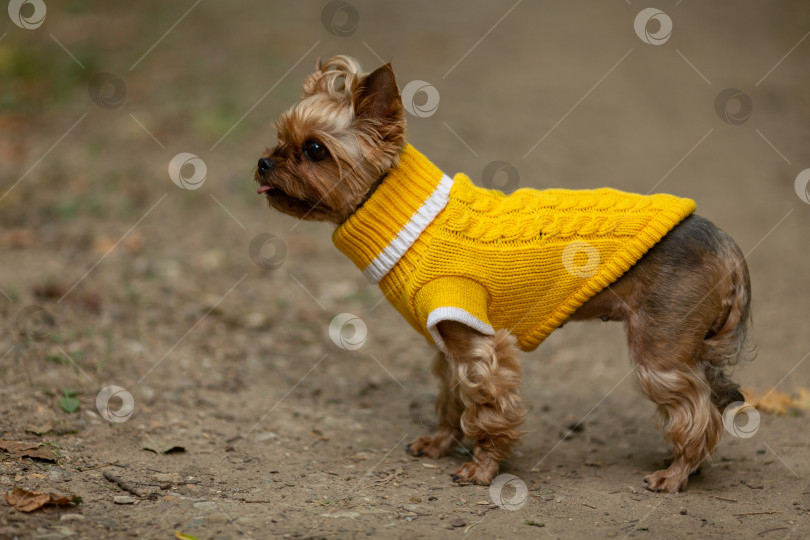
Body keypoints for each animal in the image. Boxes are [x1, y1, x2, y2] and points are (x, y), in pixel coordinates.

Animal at [252, 56, 752, 494]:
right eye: (278, 139)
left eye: (314, 149)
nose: (263, 162)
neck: (409, 218)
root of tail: (726, 243)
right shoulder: (448, 343)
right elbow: (451, 399)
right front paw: (440, 444)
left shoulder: (479, 345)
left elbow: (487, 409)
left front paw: (482, 468)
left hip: (659, 349)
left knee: (698, 410)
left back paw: (675, 474)